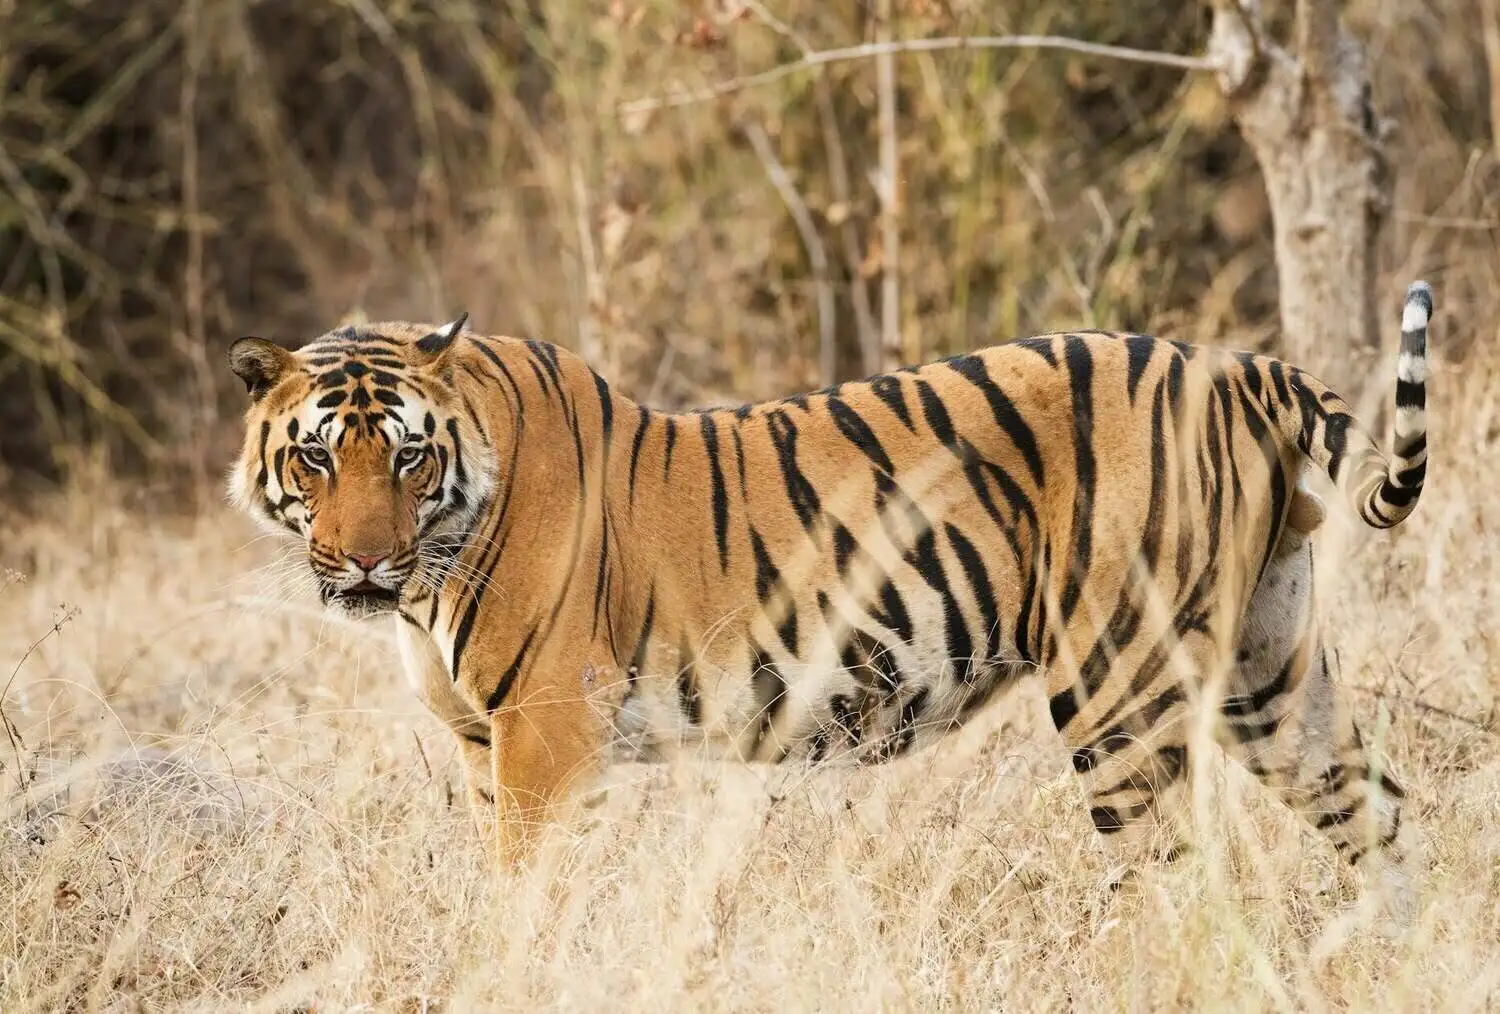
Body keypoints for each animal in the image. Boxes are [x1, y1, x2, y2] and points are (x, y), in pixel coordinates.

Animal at [225, 280, 1428, 924]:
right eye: (319, 460)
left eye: (409, 458)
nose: (365, 565)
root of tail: (1237, 367)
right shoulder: (486, 742)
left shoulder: (545, 734)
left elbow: (524, 896)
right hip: (1272, 672)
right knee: (1380, 810)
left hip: (1118, 686)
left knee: (1177, 882)